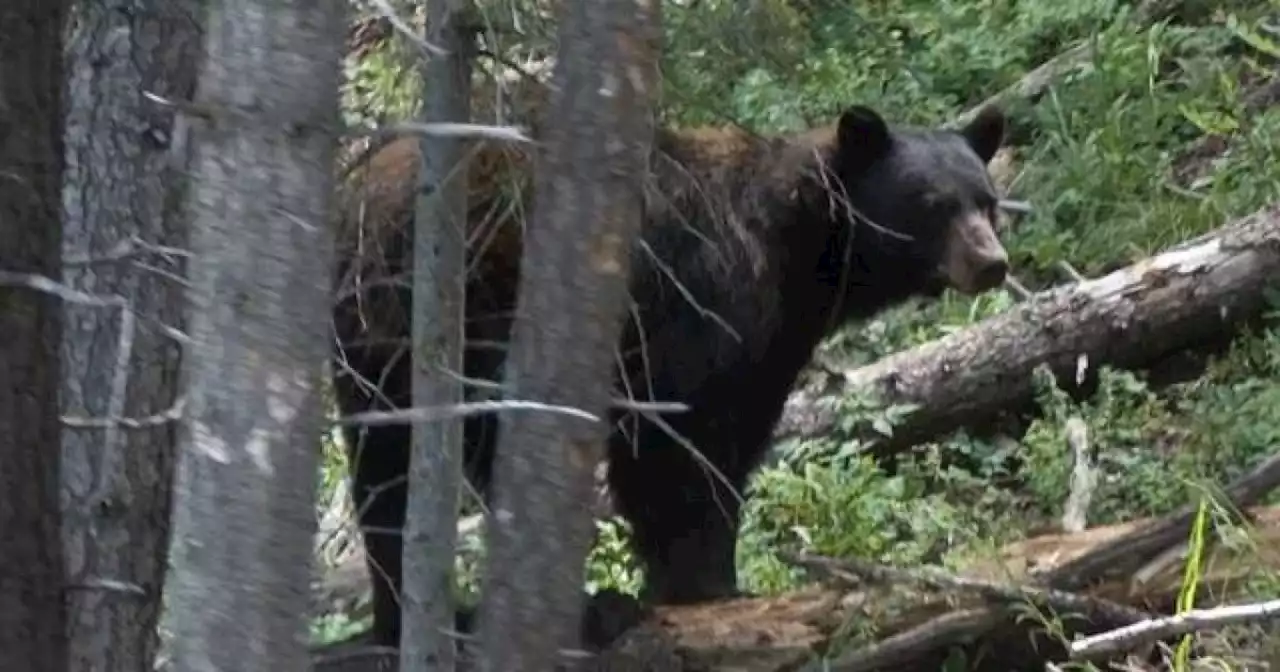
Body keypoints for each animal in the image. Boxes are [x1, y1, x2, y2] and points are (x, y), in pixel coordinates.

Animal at [327, 102, 1008, 647]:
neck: (800, 255)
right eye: (933, 203)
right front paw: (701, 583)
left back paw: (403, 616)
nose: (992, 262)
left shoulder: (768, 349)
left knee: (383, 470)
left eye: (986, 199)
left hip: (371, 352)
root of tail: (362, 198)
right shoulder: (701, 316)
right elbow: (680, 451)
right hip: (471, 314)